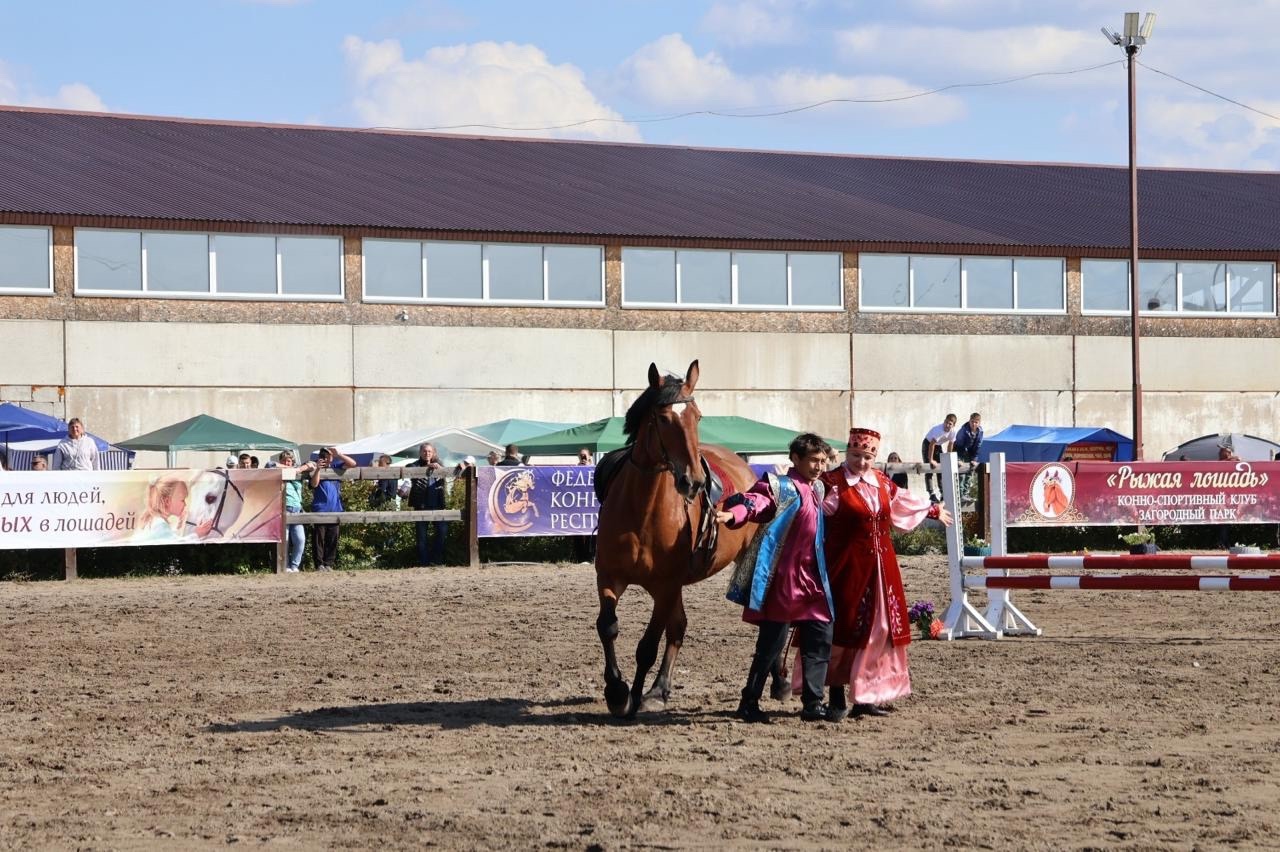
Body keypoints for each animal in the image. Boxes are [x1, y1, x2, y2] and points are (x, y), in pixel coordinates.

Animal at [591, 358, 752, 716]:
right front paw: (617, 691)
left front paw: (633, 697)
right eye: (664, 419)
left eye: (698, 417)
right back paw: (659, 689)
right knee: (678, 627)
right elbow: (608, 626)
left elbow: (647, 646)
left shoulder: (665, 586)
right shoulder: (609, 576)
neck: (643, 510)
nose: (693, 481)